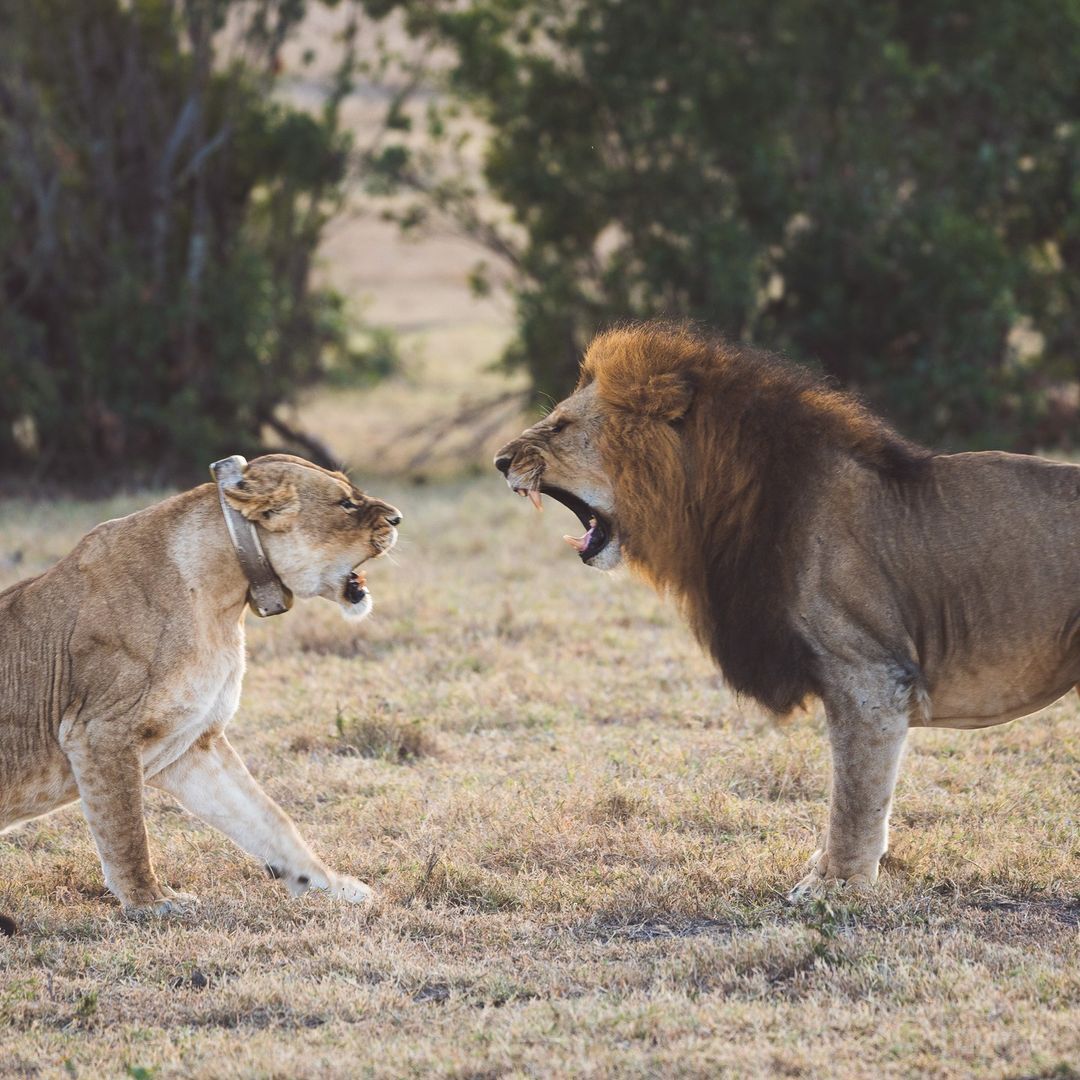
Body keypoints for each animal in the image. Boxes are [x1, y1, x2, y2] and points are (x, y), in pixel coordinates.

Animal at [0, 451, 401, 924]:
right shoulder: (99, 732)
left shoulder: (194, 745)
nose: (398, 518)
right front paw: (151, 902)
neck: (226, 601)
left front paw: (333, 885)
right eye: (345, 504)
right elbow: (127, 829)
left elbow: (270, 820)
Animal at [494, 324, 1080, 898]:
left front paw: (835, 885)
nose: (500, 462)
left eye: (560, 425)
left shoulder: (869, 674)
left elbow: (856, 791)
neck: (717, 501)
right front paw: (829, 872)